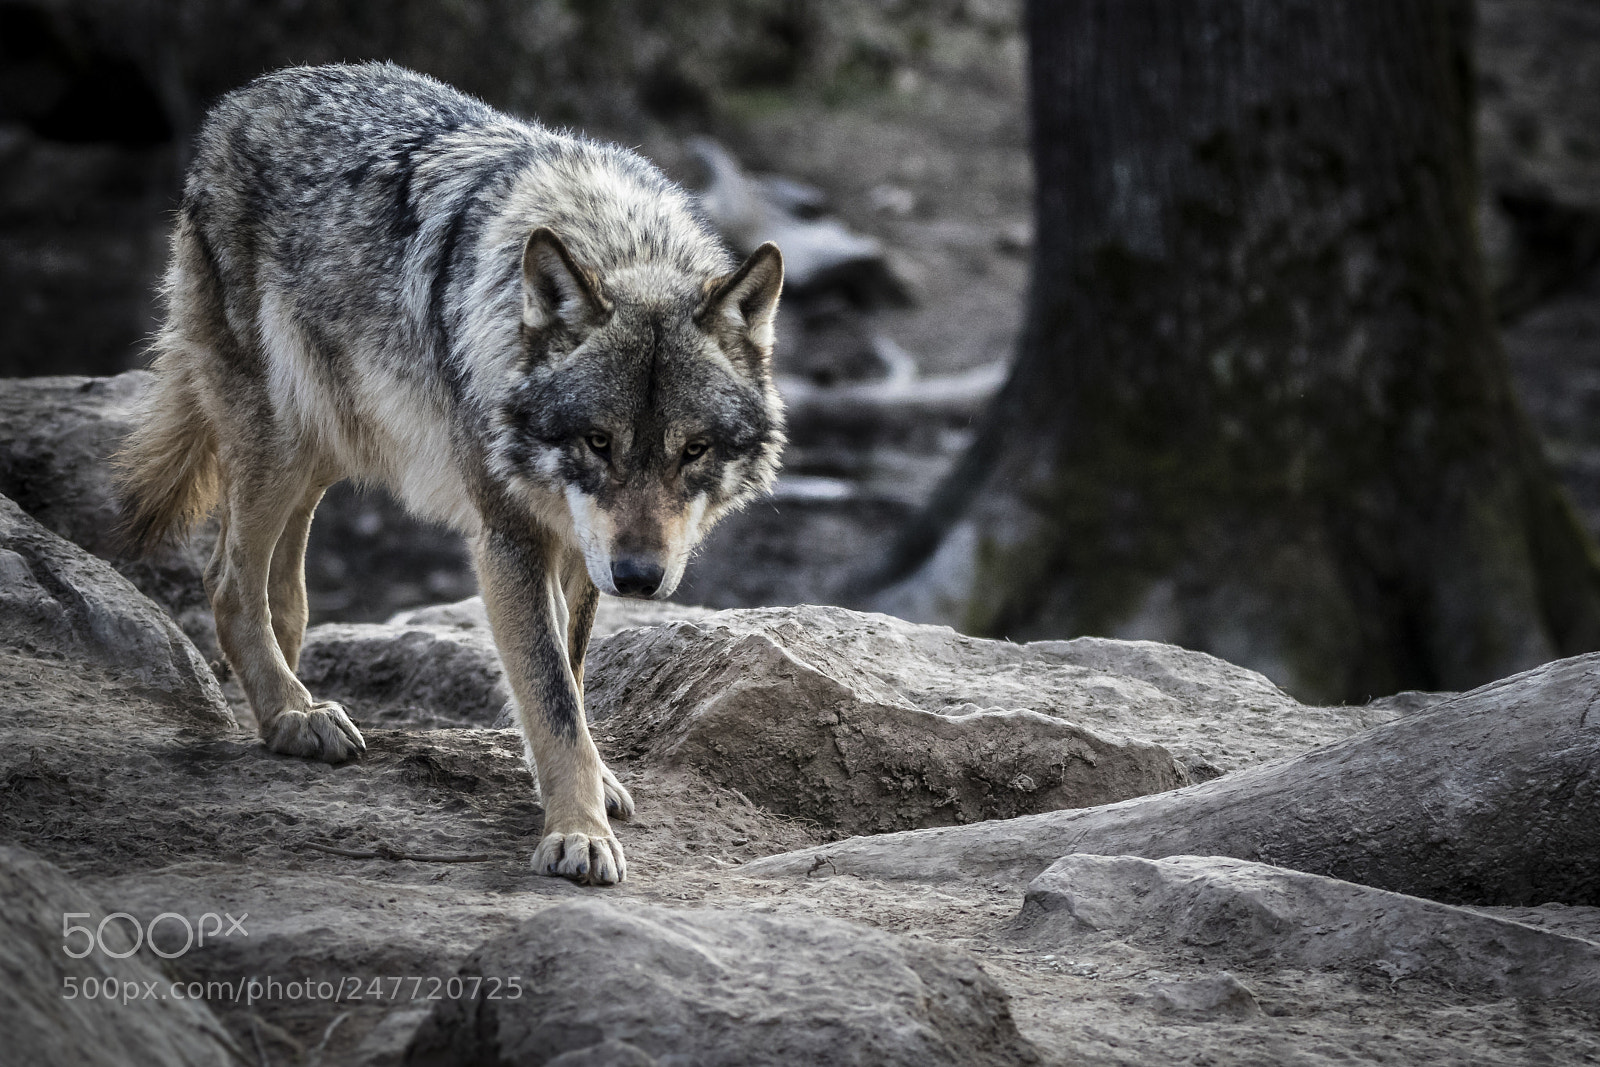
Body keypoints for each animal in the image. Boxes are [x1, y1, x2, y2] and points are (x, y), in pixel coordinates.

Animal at [116, 63, 785, 886]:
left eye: (691, 450)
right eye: (598, 442)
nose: (638, 577)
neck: (613, 240)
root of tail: (243, 98)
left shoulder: (580, 545)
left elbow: (568, 676)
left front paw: (587, 787)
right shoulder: (511, 536)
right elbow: (551, 694)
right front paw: (578, 833)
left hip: (326, 442)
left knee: (284, 591)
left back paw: (285, 699)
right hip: (279, 434)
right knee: (226, 578)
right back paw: (292, 715)